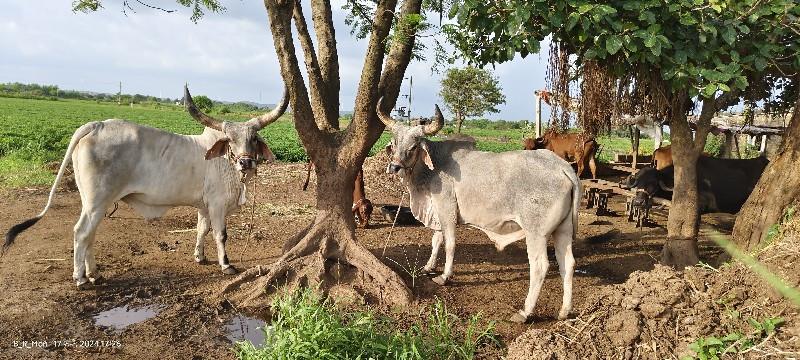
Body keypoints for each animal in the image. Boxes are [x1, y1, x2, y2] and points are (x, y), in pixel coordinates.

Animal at [2, 86, 290, 288]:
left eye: (253, 138)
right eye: (229, 140)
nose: (246, 162)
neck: (223, 161)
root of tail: (96, 125)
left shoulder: (204, 206)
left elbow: (201, 230)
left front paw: (199, 257)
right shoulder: (218, 205)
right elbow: (220, 235)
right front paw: (226, 265)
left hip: (92, 203)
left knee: (89, 235)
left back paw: (94, 274)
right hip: (97, 201)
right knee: (81, 233)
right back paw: (82, 279)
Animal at [378, 100, 580, 324]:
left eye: (413, 147)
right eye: (394, 142)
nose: (394, 167)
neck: (433, 166)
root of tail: (564, 168)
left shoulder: (447, 211)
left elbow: (449, 244)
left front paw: (445, 276)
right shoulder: (438, 213)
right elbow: (436, 240)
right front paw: (429, 267)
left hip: (536, 233)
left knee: (540, 266)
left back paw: (525, 312)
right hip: (563, 230)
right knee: (567, 264)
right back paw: (565, 310)